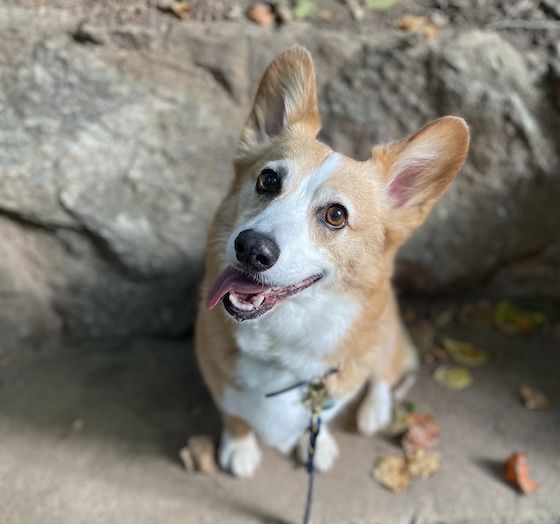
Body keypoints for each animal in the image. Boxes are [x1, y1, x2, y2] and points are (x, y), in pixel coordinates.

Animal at [195, 47, 470, 476]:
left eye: (336, 215)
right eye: (268, 180)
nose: (250, 248)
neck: (284, 339)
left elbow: (324, 415)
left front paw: (317, 445)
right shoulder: (218, 378)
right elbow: (235, 414)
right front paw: (240, 447)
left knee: (386, 371)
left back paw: (375, 411)